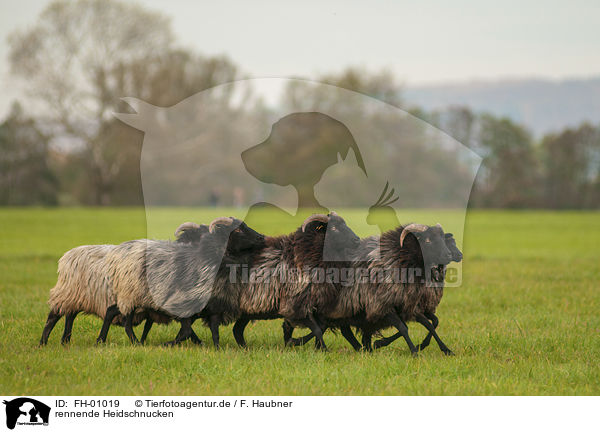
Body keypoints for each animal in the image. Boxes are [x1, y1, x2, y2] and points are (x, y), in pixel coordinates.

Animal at [232, 213, 358, 352]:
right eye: (334, 228)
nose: (357, 240)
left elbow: (321, 326)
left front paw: (296, 343)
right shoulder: (296, 304)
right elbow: (317, 329)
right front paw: (318, 347)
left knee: (237, 330)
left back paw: (245, 349)